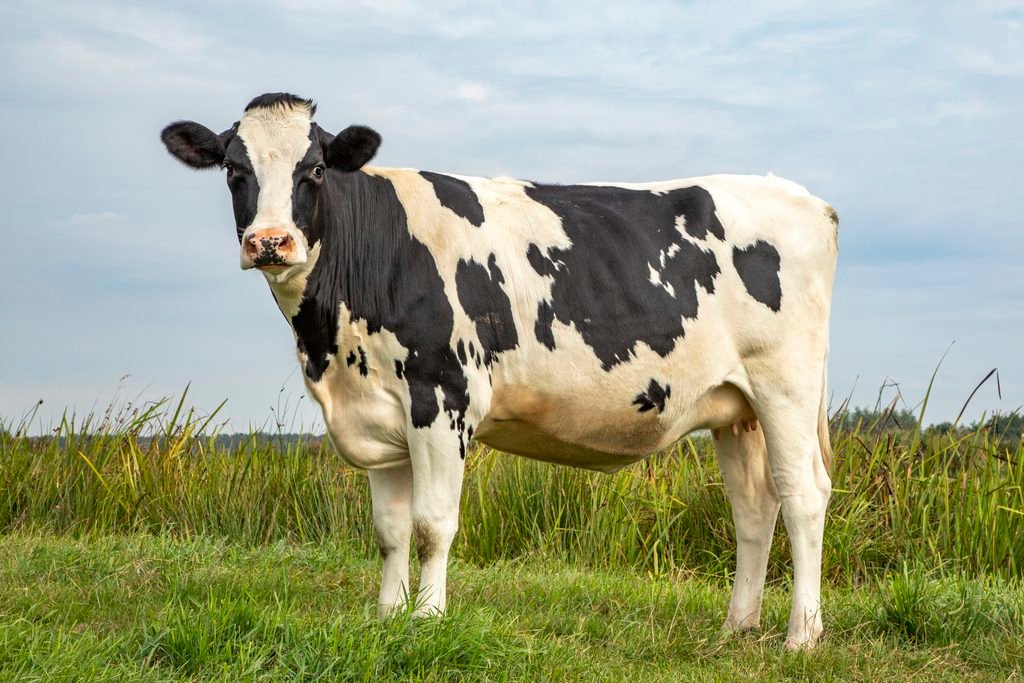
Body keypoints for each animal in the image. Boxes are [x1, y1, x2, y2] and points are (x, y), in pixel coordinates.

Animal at [161, 93, 838, 650]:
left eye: (316, 170)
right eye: (234, 169)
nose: (270, 242)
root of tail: (807, 198)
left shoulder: (442, 399)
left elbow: (431, 526)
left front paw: (426, 620)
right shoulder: (378, 414)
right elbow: (389, 531)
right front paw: (385, 618)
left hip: (786, 386)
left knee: (803, 495)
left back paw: (800, 636)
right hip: (735, 407)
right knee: (753, 506)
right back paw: (737, 626)